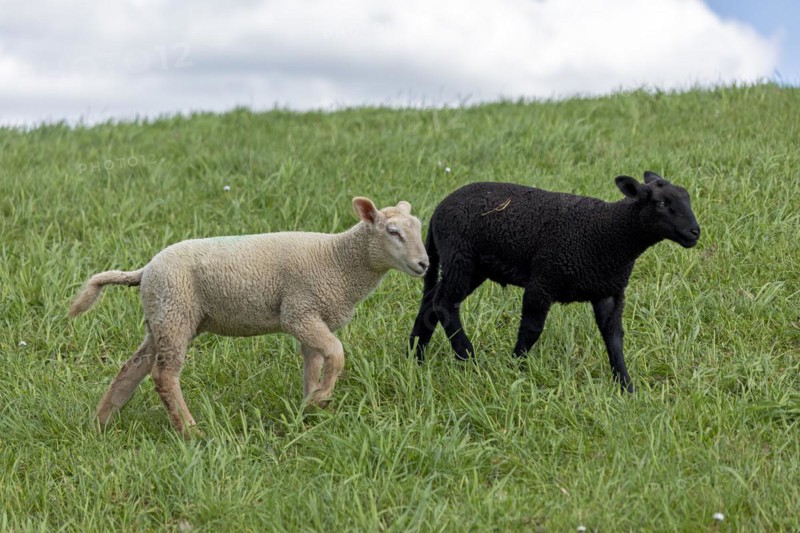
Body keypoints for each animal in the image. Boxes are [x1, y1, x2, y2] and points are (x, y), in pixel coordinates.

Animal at [70, 197, 429, 435]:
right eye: (393, 231)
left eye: (418, 228)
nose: (424, 264)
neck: (339, 260)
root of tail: (146, 269)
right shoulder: (299, 312)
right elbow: (337, 353)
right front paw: (322, 397)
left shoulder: (311, 316)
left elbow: (314, 365)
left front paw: (309, 407)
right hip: (175, 311)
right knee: (164, 376)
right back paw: (190, 430)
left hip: (163, 315)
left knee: (133, 367)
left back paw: (101, 423)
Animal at [408, 171, 700, 392]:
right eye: (660, 203)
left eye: (687, 198)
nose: (694, 232)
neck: (609, 235)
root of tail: (437, 212)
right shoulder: (542, 281)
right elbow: (531, 329)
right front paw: (516, 367)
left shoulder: (609, 291)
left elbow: (614, 337)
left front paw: (626, 386)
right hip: (461, 256)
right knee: (444, 303)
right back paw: (467, 356)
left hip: (472, 266)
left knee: (431, 303)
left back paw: (415, 356)